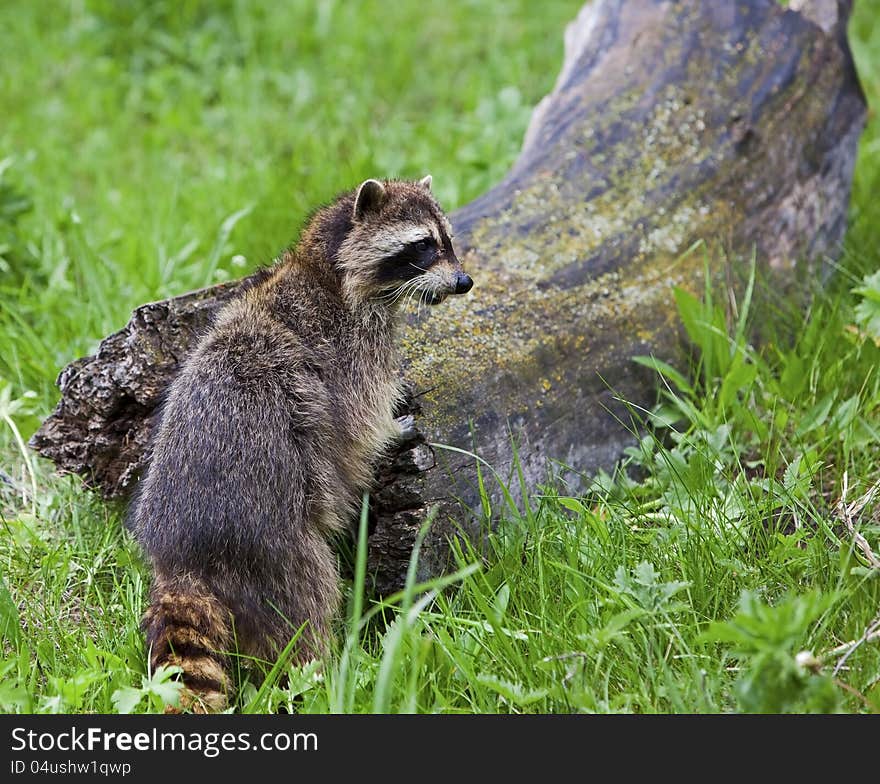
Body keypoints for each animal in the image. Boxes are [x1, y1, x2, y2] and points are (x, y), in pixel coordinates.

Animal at [127, 176, 470, 712]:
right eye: (423, 246)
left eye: (448, 240)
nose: (464, 282)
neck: (326, 268)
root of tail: (184, 556)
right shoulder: (347, 351)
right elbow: (358, 427)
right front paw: (394, 428)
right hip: (275, 545)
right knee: (307, 606)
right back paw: (318, 671)